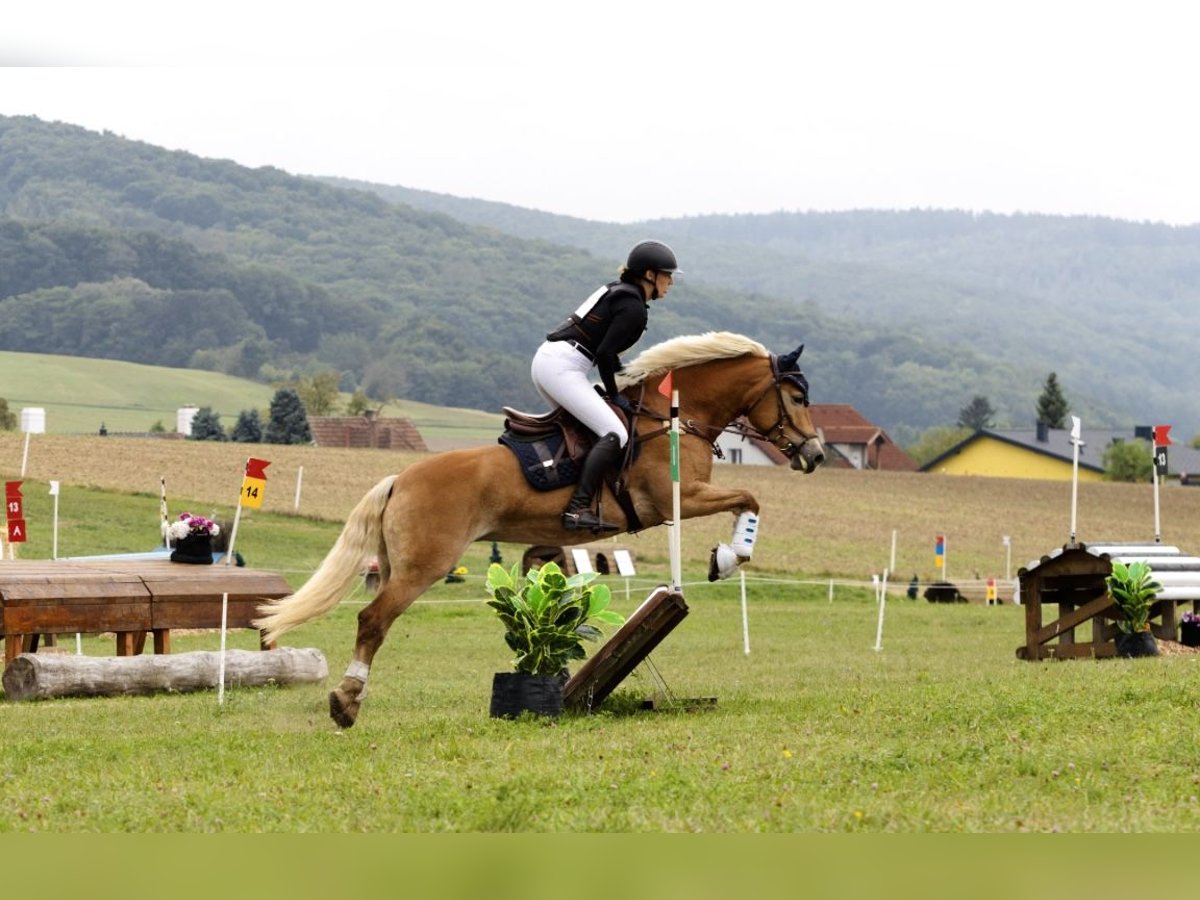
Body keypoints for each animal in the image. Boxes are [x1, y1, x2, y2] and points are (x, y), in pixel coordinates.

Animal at [253, 336, 825, 729]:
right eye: (797, 397)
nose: (816, 454)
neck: (671, 418)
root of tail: (401, 478)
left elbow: (748, 499)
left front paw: (722, 558)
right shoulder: (677, 500)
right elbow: (750, 499)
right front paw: (727, 558)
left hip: (398, 562)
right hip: (425, 565)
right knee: (374, 619)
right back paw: (346, 703)